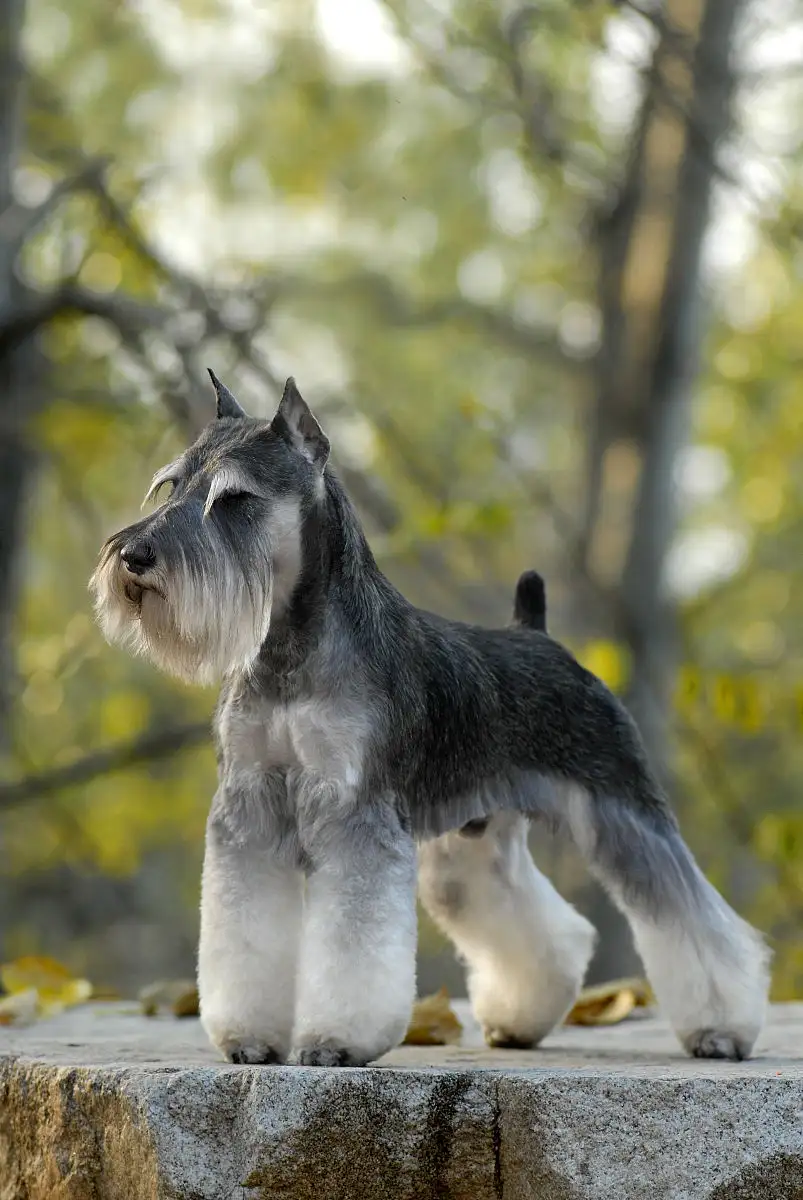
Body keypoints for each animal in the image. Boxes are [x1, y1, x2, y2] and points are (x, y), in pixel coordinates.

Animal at [90, 374, 768, 1070]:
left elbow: (353, 943)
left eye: (234, 498)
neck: (290, 649)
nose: (134, 556)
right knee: (546, 928)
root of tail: (539, 635)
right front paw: (250, 1038)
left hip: (624, 812)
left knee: (693, 917)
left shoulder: (354, 813)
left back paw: (721, 1028)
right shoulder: (249, 807)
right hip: (474, 844)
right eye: (173, 485)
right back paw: (519, 1020)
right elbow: (245, 929)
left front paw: (335, 1041)